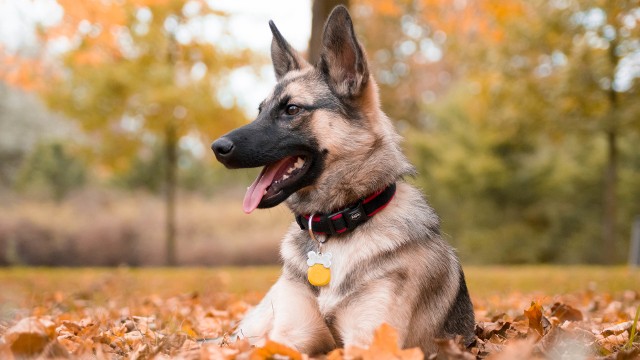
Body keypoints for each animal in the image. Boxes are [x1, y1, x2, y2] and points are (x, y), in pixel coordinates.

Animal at [211, 4, 476, 354]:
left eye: (291, 109)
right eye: (260, 110)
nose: (217, 147)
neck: (335, 227)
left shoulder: (369, 342)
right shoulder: (287, 338)